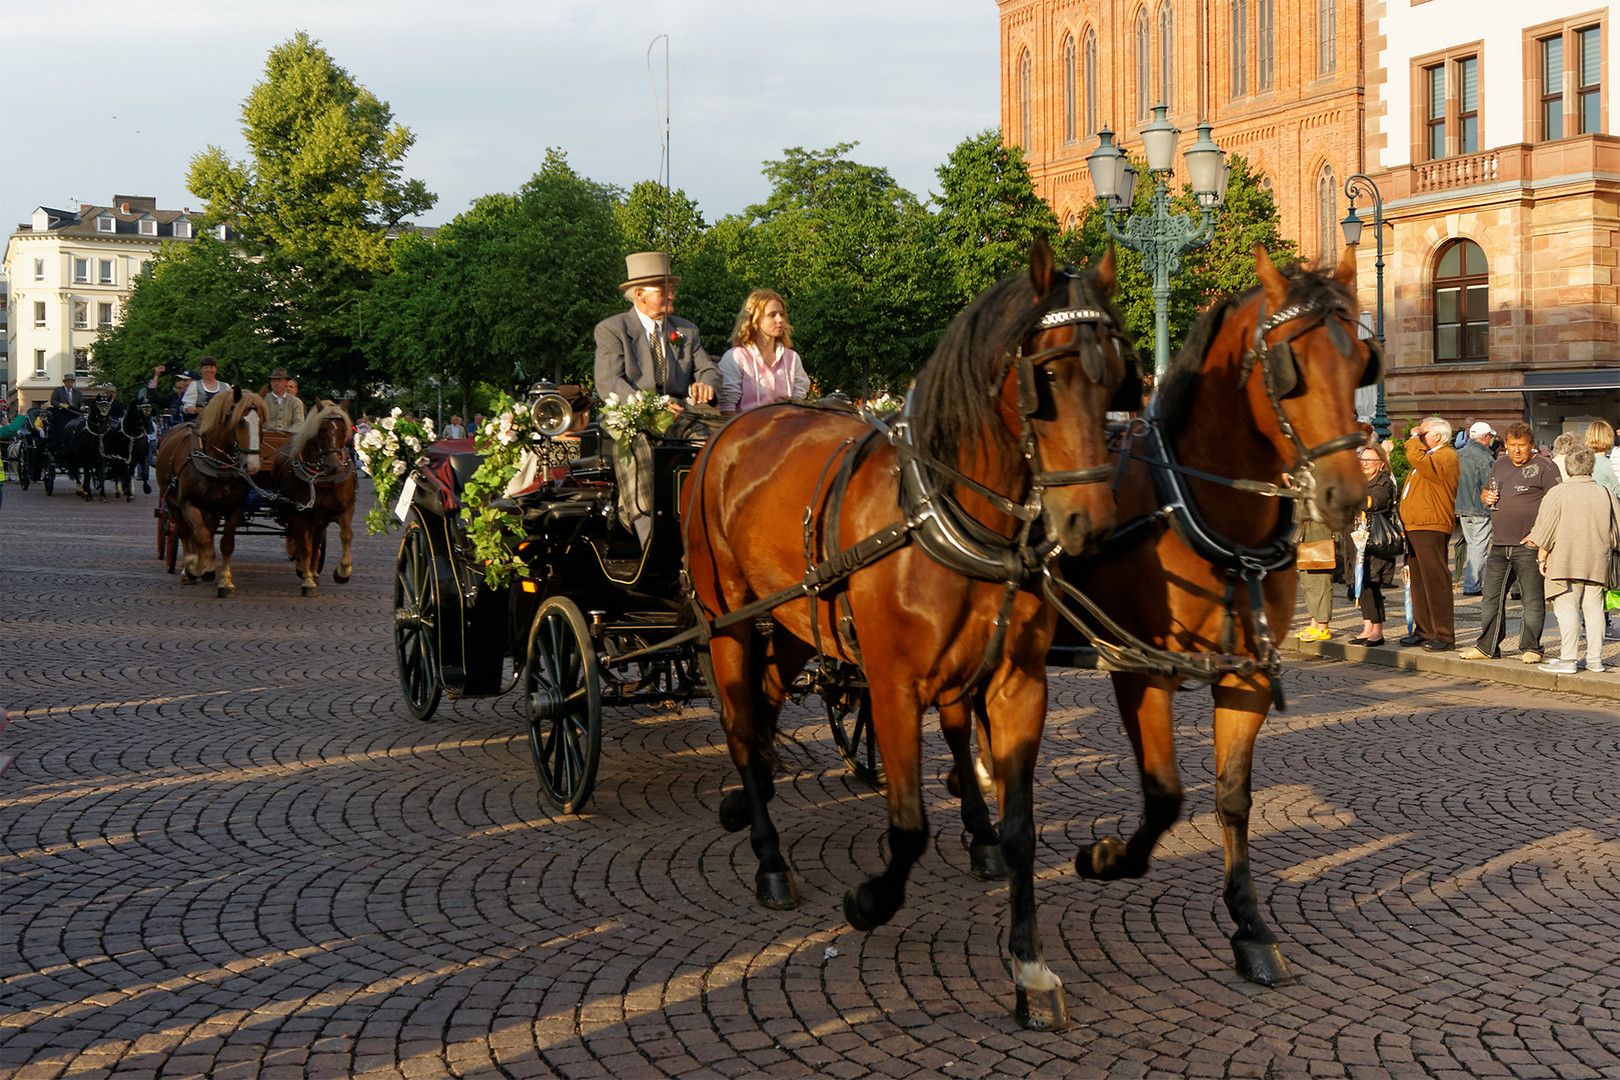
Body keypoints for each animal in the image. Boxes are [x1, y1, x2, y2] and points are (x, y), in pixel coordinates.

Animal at [155, 388, 265, 599]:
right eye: (240, 421)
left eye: (262, 421)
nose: (253, 466)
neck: (215, 464)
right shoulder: (188, 504)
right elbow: (200, 536)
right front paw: (196, 568)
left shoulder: (235, 508)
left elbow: (225, 542)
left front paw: (225, 581)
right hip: (173, 504)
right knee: (185, 532)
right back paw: (188, 570)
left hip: (212, 509)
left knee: (208, 531)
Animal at [272, 401, 358, 595]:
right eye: (321, 430)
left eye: (343, 430)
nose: (333, 465)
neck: (322, 479)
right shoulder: (299, 514)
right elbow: (305, 546)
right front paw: (307, 581)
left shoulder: (345, 509)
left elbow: (346, 536)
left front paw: (343, 571)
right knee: (300, 538)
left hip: (320, 520)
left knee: (316, 539)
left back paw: (312, 570)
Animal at [683, 241, 1140, 1036]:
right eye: (1046, 376)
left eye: (1115, 373)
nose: (1091, 525)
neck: (948, 518)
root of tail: (729, 435)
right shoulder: (894, 686)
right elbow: (908, 827)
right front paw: (870, 900)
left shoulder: (1017, 685)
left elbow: (1019, 827)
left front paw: (1029, 967)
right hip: (729, 618)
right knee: (739, 721)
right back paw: (769, 855)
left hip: (799, 619)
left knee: (767, 697)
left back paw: (754, 792)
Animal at [1049, 244, 1380, 990]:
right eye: (1289, 365)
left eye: (1359, 362)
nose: (1346, 496)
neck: (1197, 506)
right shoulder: (1140, 668)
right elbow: (1165, 792)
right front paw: (1105, 857)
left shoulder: (1248, 674)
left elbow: (1232, 796)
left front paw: (1249, 924)